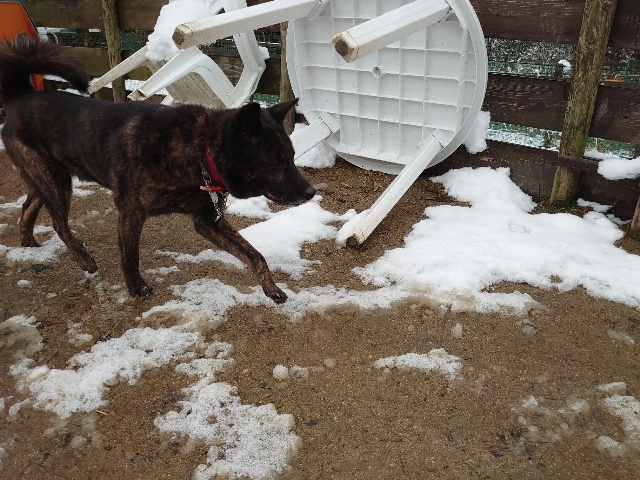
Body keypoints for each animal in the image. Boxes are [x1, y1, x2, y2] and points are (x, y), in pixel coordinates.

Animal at [0, 34, 315, 304]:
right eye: (276, 161)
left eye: (291, 156)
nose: (311, 192)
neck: (199, 150)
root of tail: (21, 94)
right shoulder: (131, 211)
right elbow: (130, 255)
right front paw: (136, 287)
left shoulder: (208, 220)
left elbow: (255, 254)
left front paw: (271, 288)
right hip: (55, 181)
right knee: (58, 223)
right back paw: (83, 258)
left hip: (48, 177)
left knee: (28, 206)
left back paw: (28, 241)